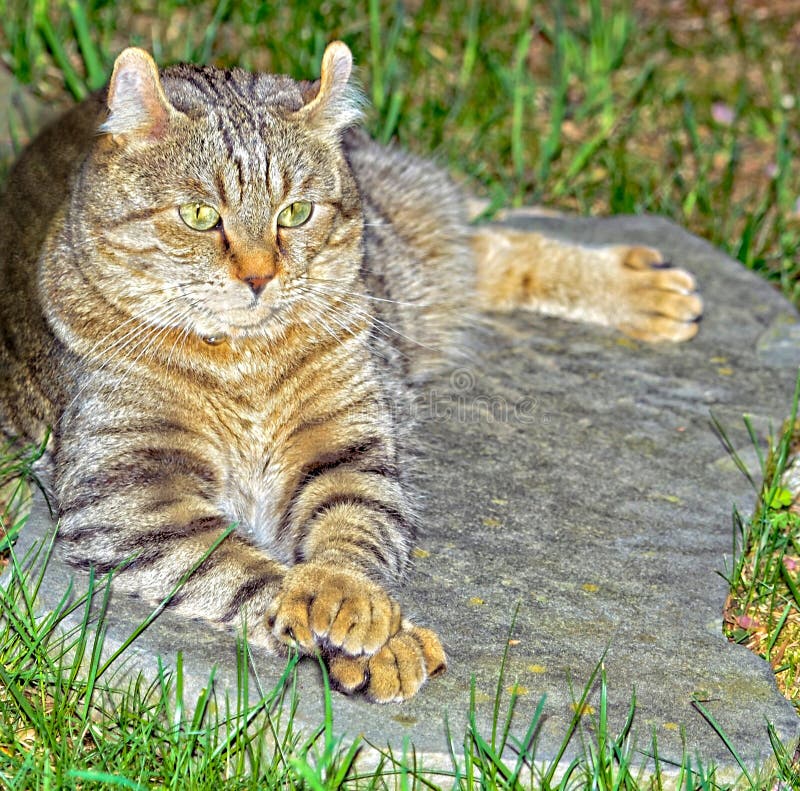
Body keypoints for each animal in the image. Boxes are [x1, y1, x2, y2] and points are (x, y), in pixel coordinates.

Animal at [0, 40, 700, 704]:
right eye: (200, 216)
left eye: (296, 213)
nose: (260, 277)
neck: (243, 360)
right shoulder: (130, 495)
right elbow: (239, 570)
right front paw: (375, 643)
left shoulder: (343, 447)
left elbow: (348, 529)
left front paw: (343, 600)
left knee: (487, 245)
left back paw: (641, 289)